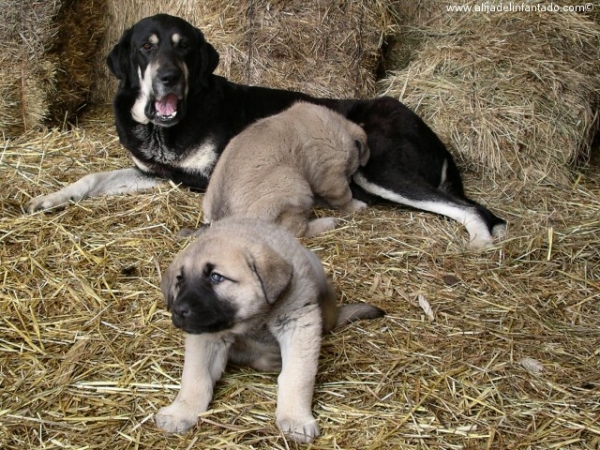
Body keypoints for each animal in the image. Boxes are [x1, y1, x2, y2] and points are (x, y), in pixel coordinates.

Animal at [155, 218, 384, 442]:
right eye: (180, 280)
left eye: (216, 277)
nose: (178, 310)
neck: (255, 320)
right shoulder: (206, 334)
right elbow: (195, 377)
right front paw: (180, 412)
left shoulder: (298, 323)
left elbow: (297, 375)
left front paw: (295, 419)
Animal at [203, 100, 370, 237]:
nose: (351, 178)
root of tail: (222, 218)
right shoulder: (332, 175)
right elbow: (345, 196)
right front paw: (357, 206)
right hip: (294, 185)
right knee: (296, 230)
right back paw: (328, 223)